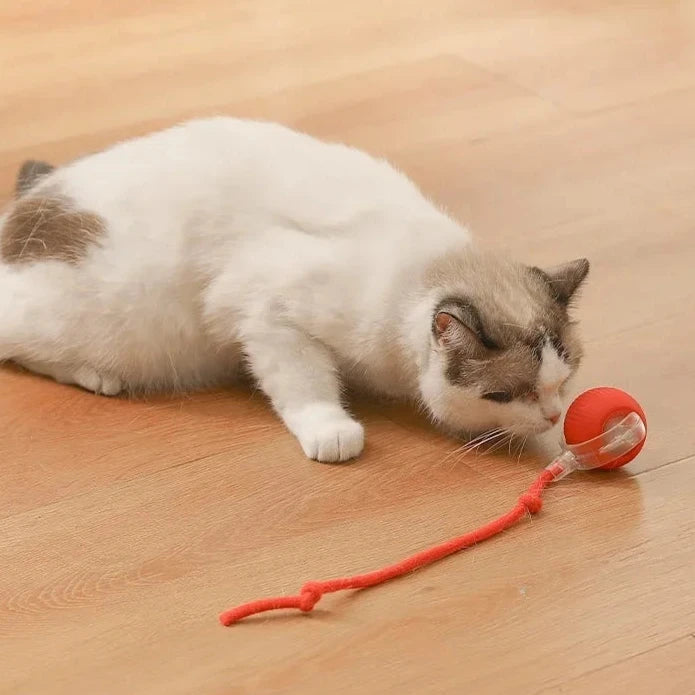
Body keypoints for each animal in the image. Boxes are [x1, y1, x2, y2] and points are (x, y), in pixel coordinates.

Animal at [0, 117, 588, 462]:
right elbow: (306, 384)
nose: (552, 416)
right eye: (505, 396)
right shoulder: (268, 315)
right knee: (23, 349)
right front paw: (333, 432)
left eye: (563, 382)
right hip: (108, 321)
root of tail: (25, 208)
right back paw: (96, 376)